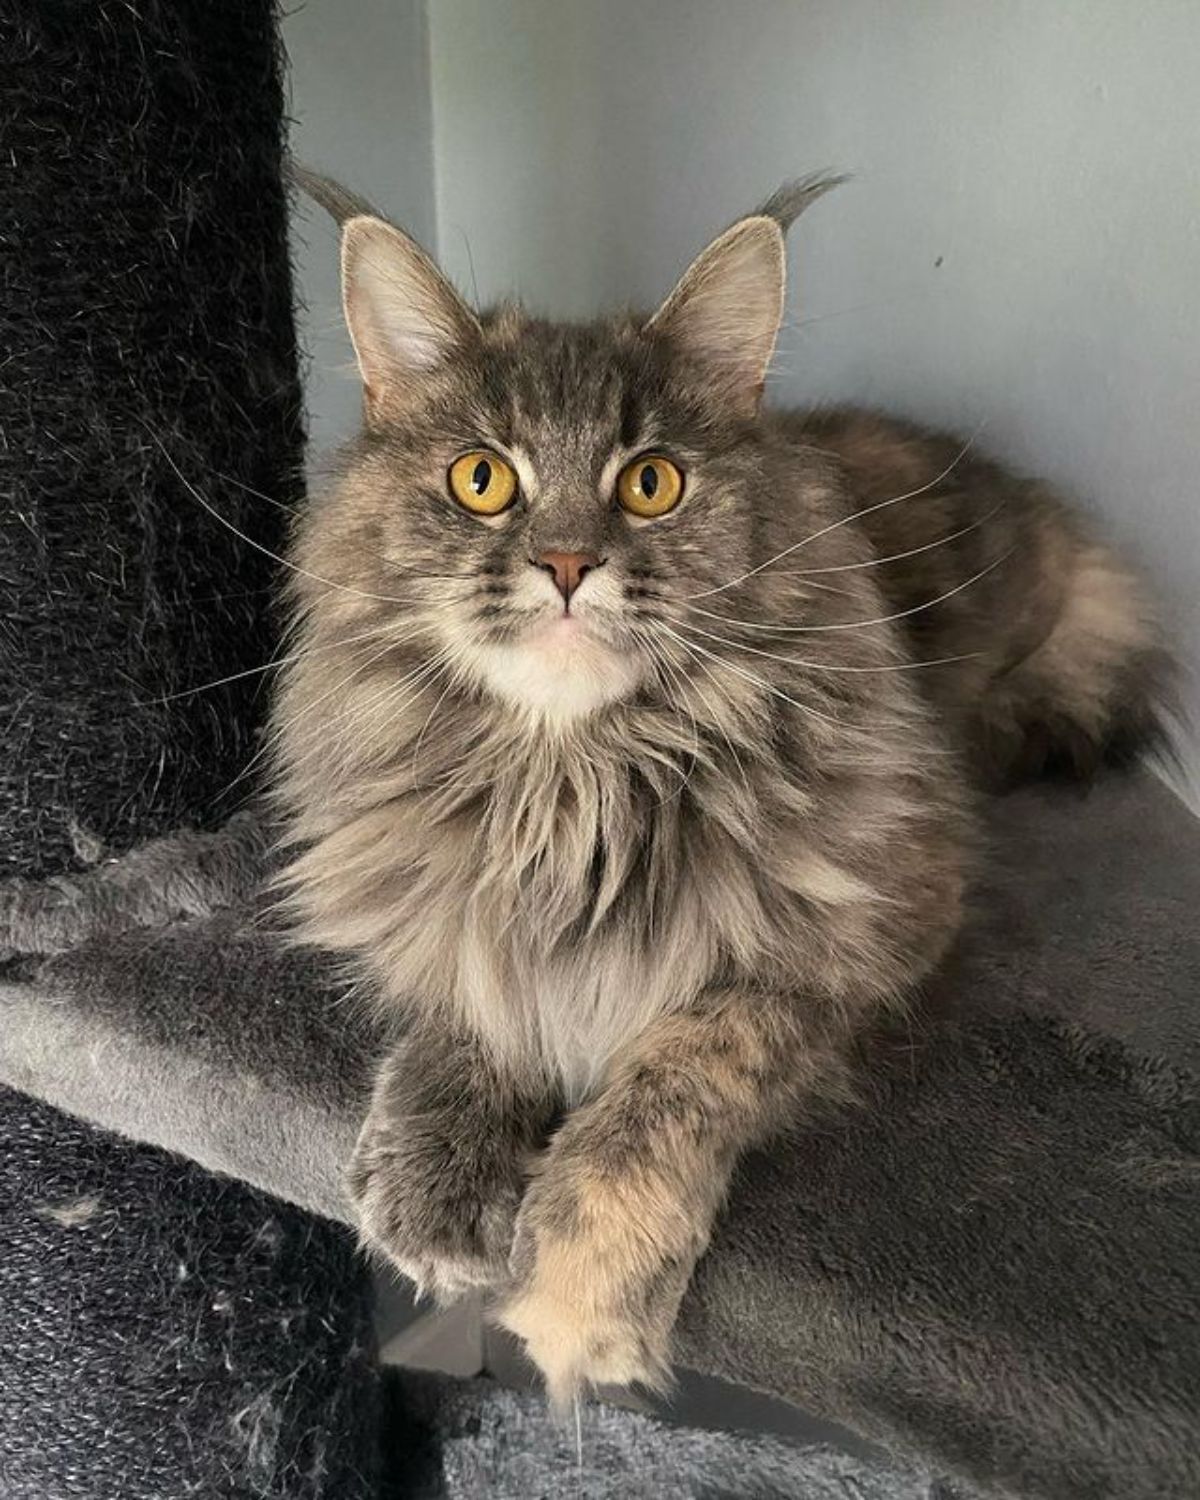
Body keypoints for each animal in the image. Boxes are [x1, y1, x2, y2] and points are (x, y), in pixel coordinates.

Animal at [274, 167, 1170, 1404]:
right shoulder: (458, 896)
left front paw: (579, 1287)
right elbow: (476, 991)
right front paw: (439, 1178)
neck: (575, 790)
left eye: (651, 484)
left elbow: (678, 1068)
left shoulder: (872, 922)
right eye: (481, 480)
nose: (565, 564)